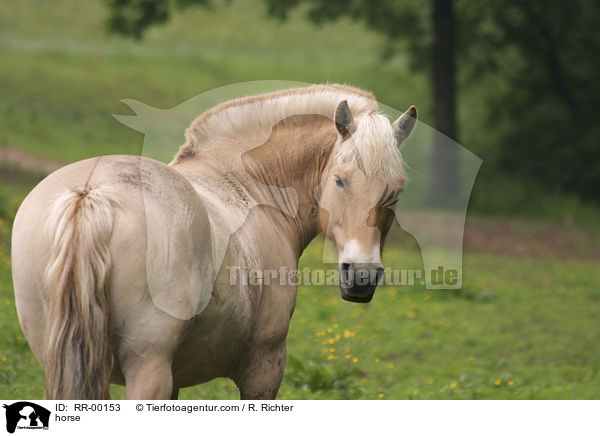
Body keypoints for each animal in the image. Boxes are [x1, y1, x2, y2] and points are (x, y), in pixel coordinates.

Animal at [12, 83, 418, 400]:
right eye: (339, 180)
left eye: (397, 192)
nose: (362, 276)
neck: (248, 186)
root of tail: (92, 193)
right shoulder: (263, 369)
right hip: (147, 370)